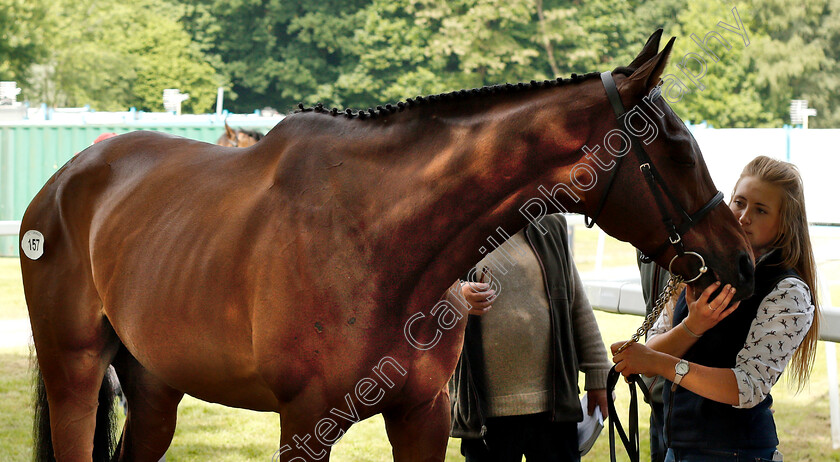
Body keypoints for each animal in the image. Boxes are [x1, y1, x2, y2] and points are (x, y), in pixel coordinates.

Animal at [21, 30, 756, 460]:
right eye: (677, 147)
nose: (742, 259)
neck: (378, 237)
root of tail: (63, 181)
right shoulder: (303, 425)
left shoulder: (421, 418)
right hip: (74, 374)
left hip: (154, 390)